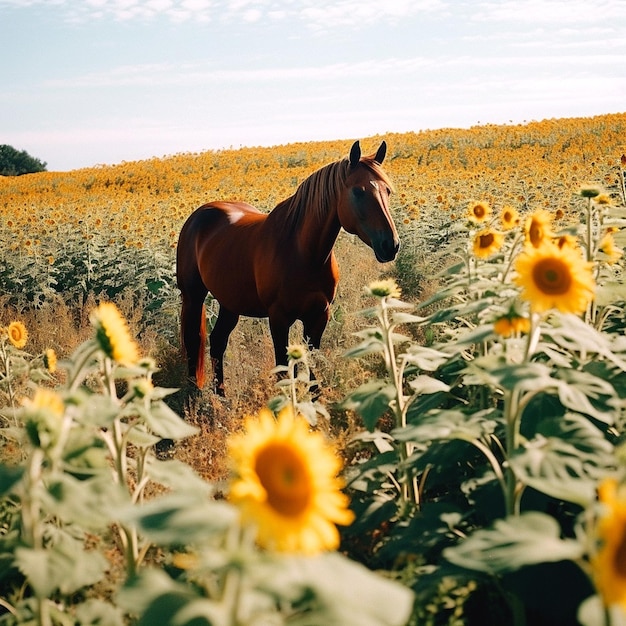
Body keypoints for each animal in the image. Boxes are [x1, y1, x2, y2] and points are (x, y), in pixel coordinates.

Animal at [174, 141, 400, 394]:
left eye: (387, 191)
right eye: (358, 191)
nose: (390, 245)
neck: (304, 254)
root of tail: (198, 216)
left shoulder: (319, 316)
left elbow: (312, 372)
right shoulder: (279, 319)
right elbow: (283, 370)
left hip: (230, 303)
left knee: (217, 341)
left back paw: (220, 395)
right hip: (193, 297)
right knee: (193, 342)